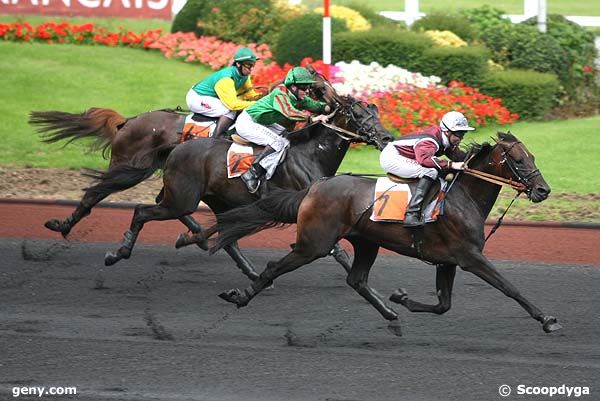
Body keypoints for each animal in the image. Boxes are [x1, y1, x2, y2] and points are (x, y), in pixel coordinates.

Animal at [102, 94, 394, 282]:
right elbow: (337, 251)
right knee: (142, 211)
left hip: (212, 198)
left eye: (377, 112)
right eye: (358, 114)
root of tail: (177, 146)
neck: (311, 154)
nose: (387, 137)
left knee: (223, 234)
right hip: (182, 199)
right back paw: (118, 253)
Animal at [211, 132, 564, 334]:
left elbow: (443, 304)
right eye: (517, 159)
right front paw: (546, 319)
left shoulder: (447, 260)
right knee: (274, 267)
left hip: (366, 243)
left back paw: (391, 313)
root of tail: (315, 186)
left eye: (532, 156)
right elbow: (509, 287)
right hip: (314, 243)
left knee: (357, 280)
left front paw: (402, 298)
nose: (543, 190)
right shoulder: (469, 257)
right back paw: (240, 296)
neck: (462, 197)